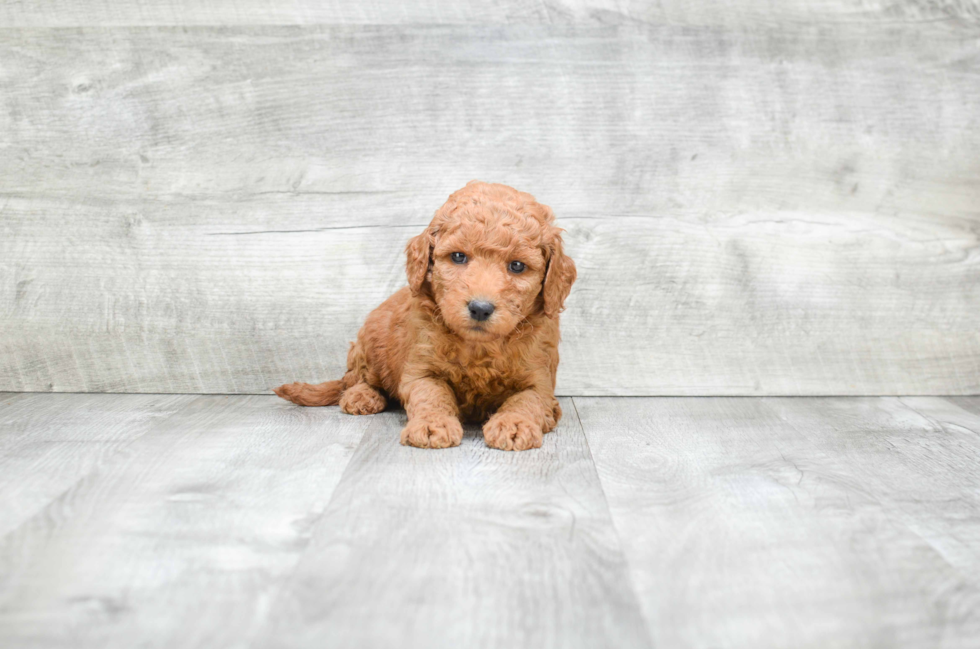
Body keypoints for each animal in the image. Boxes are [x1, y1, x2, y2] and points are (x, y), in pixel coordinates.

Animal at [272, 180, 580, 448]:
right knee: (357, 378)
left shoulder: (539, 378)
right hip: (369, 342)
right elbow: (431, 394)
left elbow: (527, 400)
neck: (479, 348)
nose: (480, 308)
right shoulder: (421, 367)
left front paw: (513, 424)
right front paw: (433, 424)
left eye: (517, 266)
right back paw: (361, 395)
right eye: (458, 257)